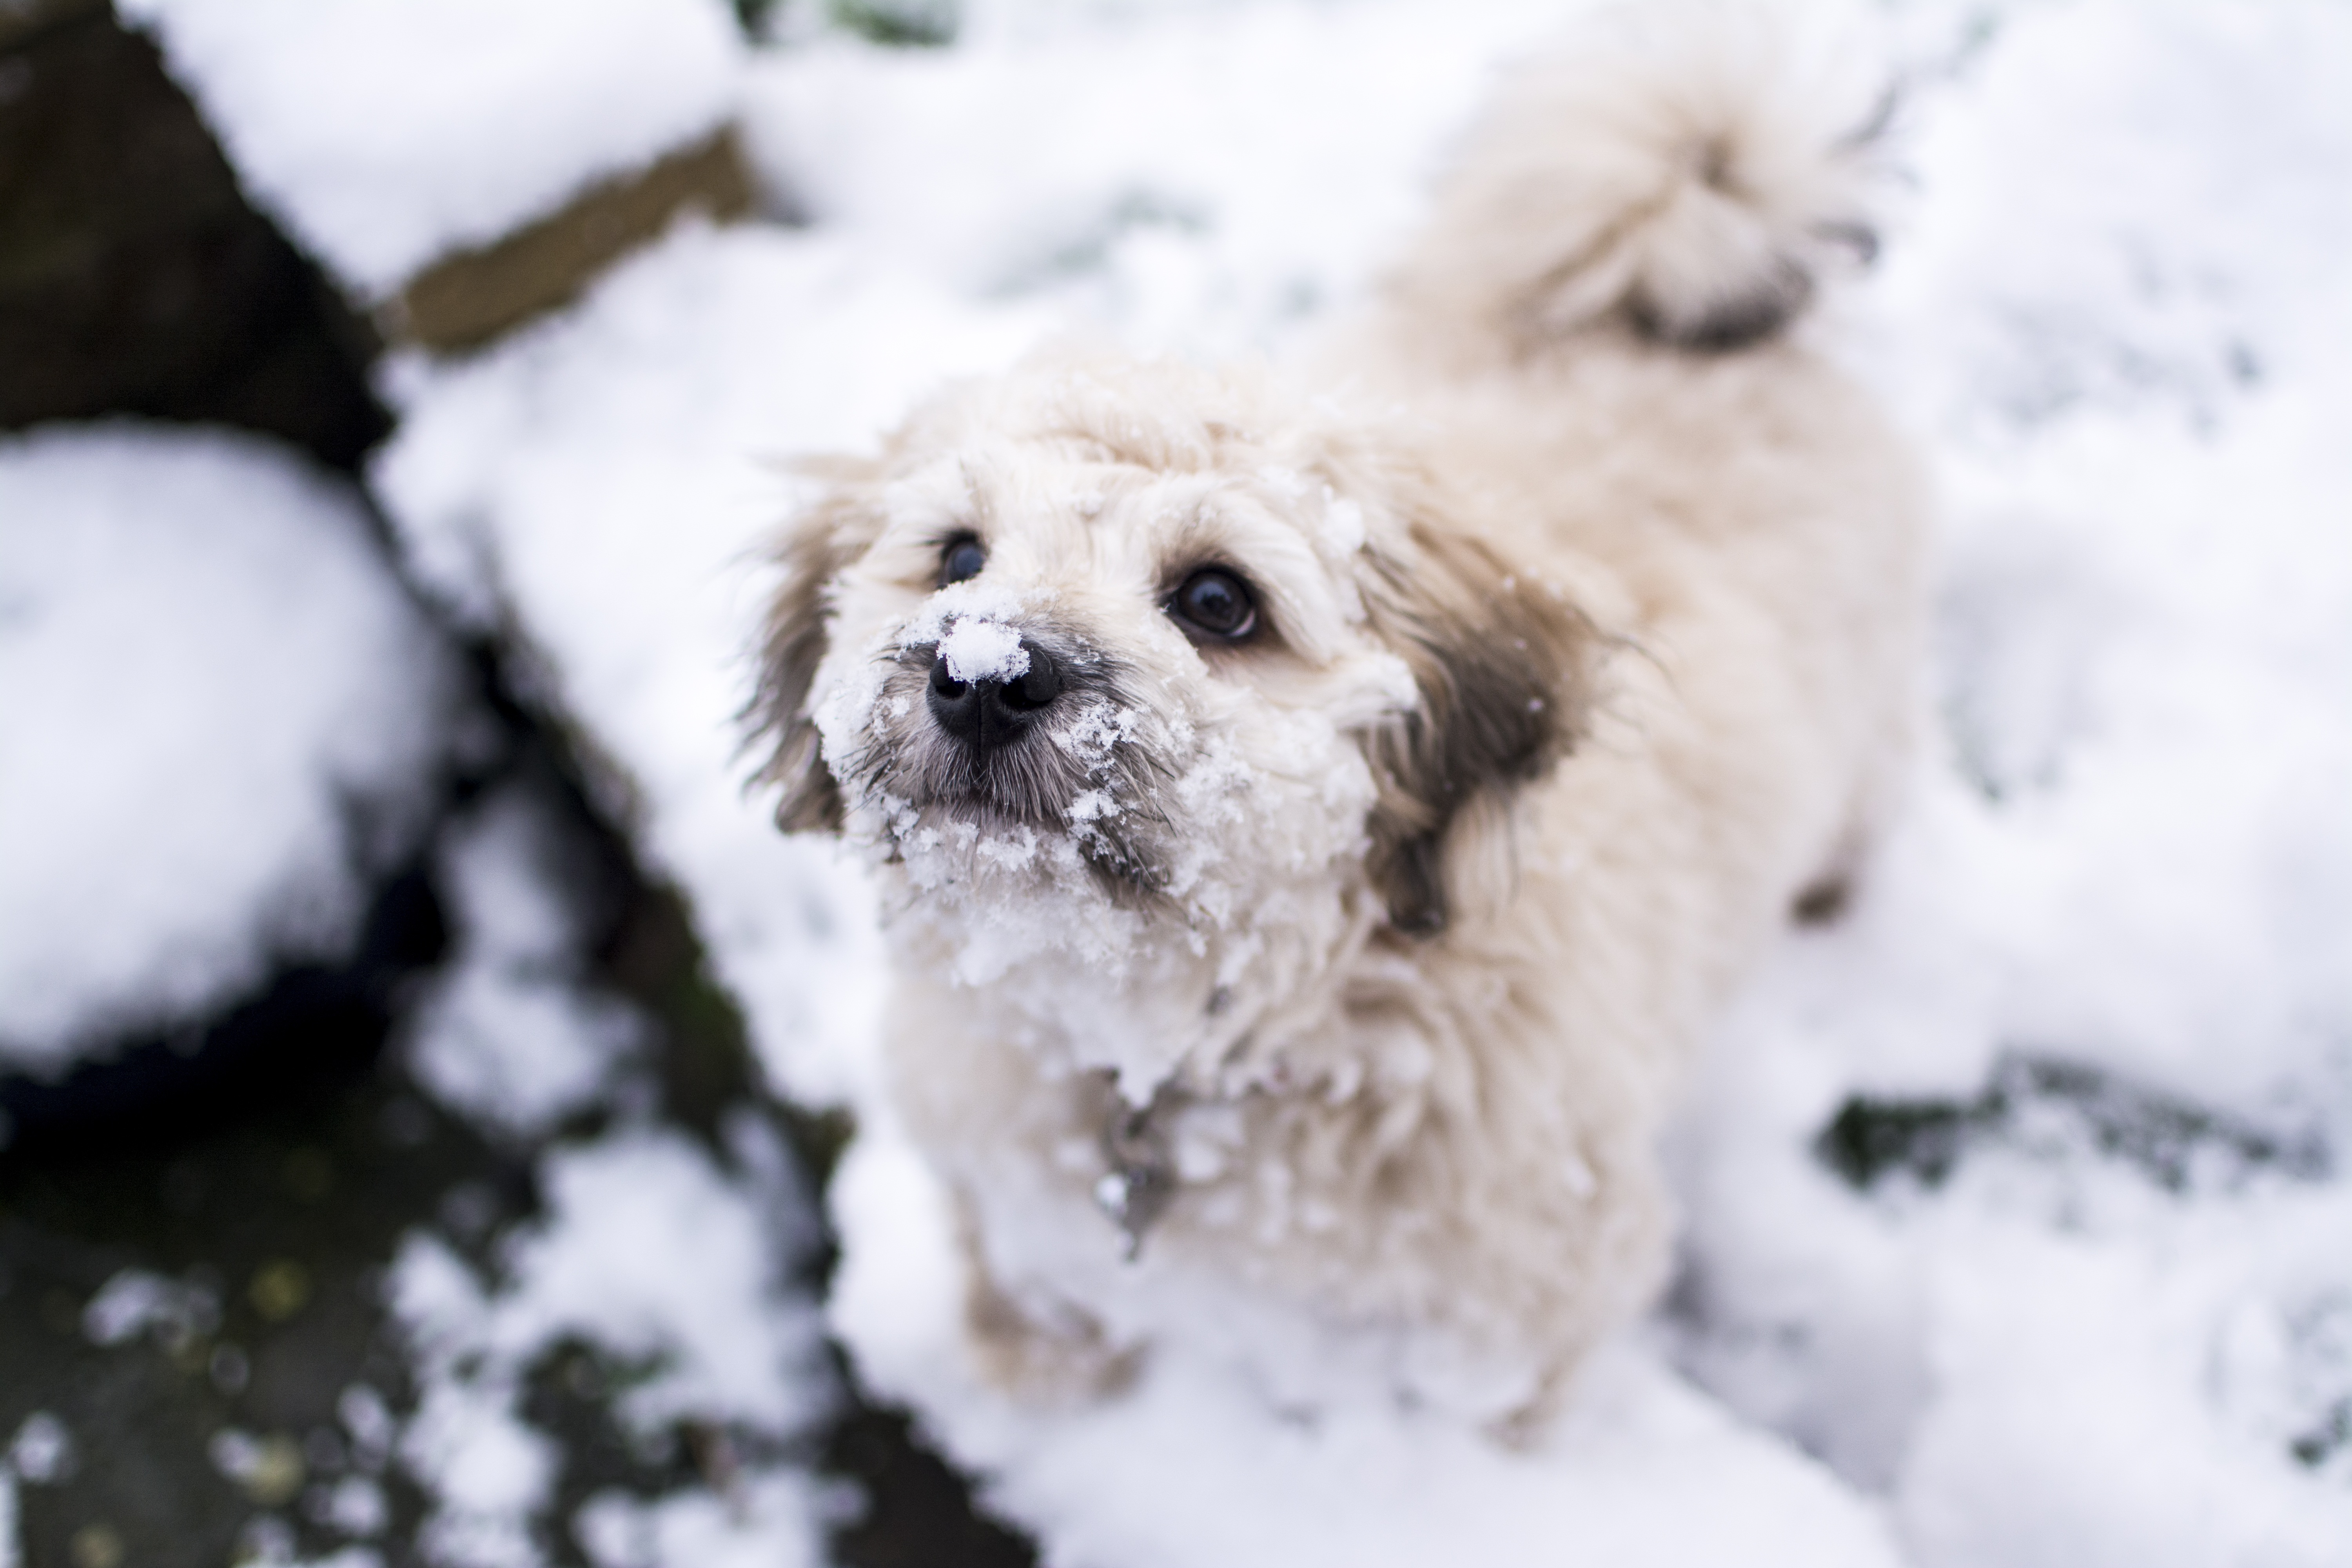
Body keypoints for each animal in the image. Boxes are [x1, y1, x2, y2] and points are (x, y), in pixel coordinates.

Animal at [753, 9, 1929, 1439]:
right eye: (958, 557)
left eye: (1219, 600)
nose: (983, 677)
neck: (1189, 1050)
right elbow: (1028, 1282)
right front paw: (1037, 1381)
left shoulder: (1529, 1311)